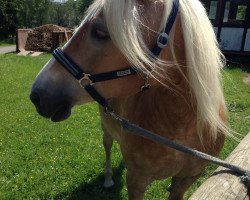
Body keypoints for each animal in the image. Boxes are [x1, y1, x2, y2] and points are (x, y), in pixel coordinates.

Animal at [29, 0, 229, 198]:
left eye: (100, 32)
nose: (36, 95)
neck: (182, 129)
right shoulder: (136, 180)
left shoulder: (186, 180)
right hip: (106, 128)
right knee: (108, 147)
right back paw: (108, 179)